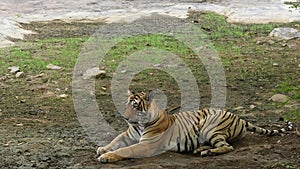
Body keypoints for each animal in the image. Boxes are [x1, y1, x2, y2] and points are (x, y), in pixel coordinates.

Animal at [96, 91, 292, 162]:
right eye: (127, 105)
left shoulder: (147, 144)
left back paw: (208, 152)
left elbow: (125, 150)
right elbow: (116, 141)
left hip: (210, 126)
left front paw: (107, 156)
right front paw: (103, 149)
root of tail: (240, 118)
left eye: (136, 106)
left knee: (227, 147)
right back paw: (201, 150)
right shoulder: (128, 135)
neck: (140, 125)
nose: (125, 117)